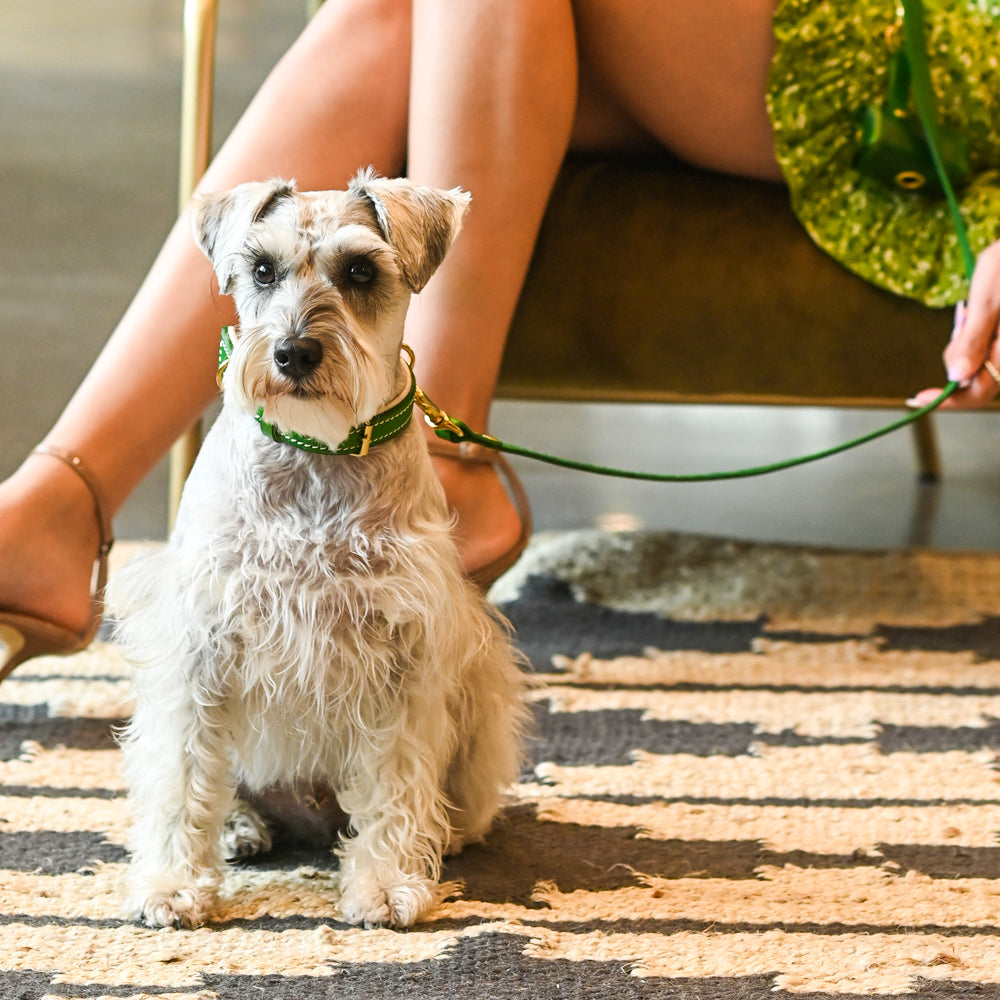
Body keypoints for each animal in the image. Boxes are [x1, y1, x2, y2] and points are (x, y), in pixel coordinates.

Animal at [108, 170, 528, 928]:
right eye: (261, 270)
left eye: (360, 270)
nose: (293, 352)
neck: (317, 456)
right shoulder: (199, 645)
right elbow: (182, 773)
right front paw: (172, 885)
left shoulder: (406, 652)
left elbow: (395, 780)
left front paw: (386, 883)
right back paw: (239, 827)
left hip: (482, 689)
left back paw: (444, 834)